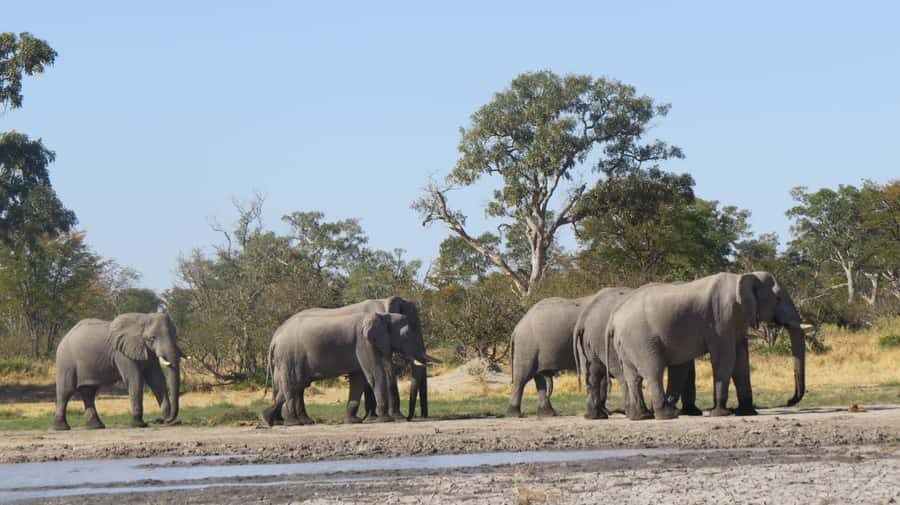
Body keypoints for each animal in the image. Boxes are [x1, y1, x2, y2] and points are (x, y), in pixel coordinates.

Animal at [53, 313, 182, 431]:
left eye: (175, 336)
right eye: (152, 338)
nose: (158, 420)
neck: (142, 318)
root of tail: (65, 336)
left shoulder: (147, 352)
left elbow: (157, 379)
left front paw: (168, 421)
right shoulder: (121, 353)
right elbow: (134, 379)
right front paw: (139, 425)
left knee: (89, 391)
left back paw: (96, 427)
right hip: (66, 361)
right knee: (66, 391)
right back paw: (62, 428)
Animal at [264, 296, 436, 424]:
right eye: (408, 332)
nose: (410, 417)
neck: (384, 306)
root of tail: (274, 338)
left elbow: (359, 378)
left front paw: (360, 420)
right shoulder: (365, 342)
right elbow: (380, 373)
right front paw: (390, 418)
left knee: (296, 385)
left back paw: (282, 420)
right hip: (289, 356)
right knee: (292, 383)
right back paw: (289, 422)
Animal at [609, 271, 805, 420]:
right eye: (778, 299)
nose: (789, 401)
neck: (743, 277)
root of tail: (615, 319)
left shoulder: (737, 320)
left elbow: (741, 362)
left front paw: (747, 412)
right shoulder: (721, 318)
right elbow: (724, 359)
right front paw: (721, 413)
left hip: (627, 343)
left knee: (633, 377)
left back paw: (641, 417)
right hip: (641, 339)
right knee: (653, 371)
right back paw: (667, 415)